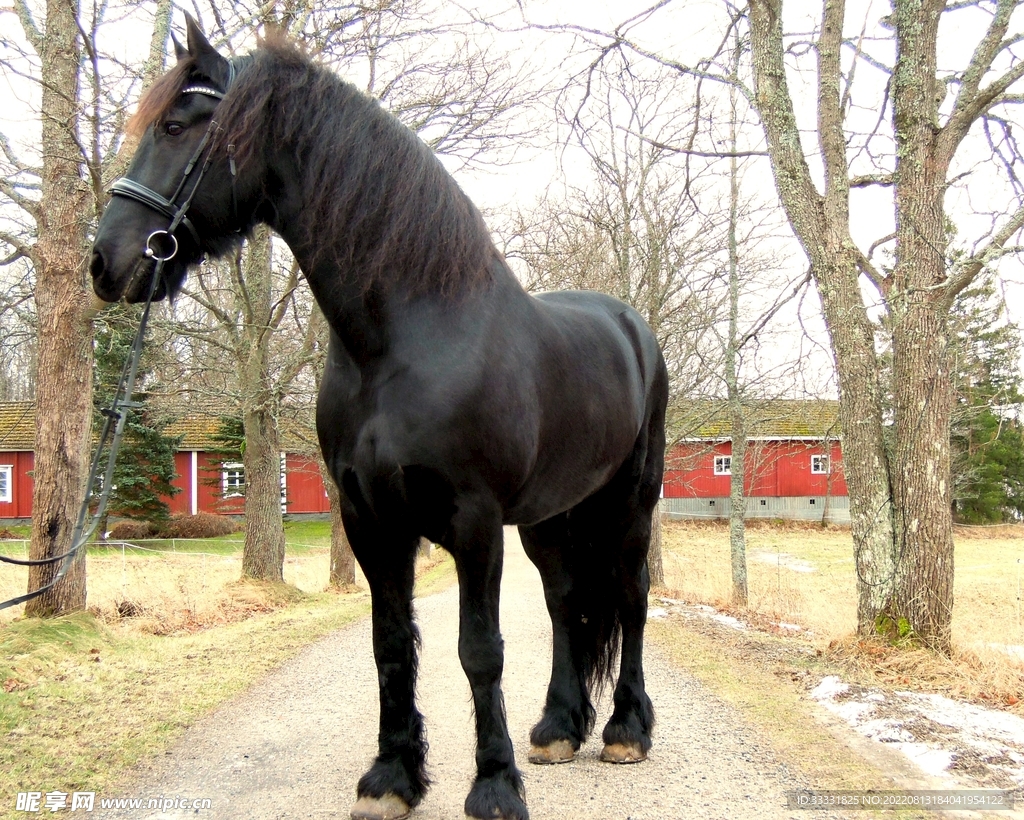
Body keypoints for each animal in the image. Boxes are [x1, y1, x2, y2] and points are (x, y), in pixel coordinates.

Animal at [90, 18, 667, 820]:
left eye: (176, 126)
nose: (105, 263)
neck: (403, 342)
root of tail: (630, 328)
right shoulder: (369, 518)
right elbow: (391, 645)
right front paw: (393, 776)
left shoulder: (474, 523)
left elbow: (479, 650)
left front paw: (493, 787)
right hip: (552, 516)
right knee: (564, 602)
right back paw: (558, 727)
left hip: (629, 506)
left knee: (632, 599)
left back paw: (625, 732)